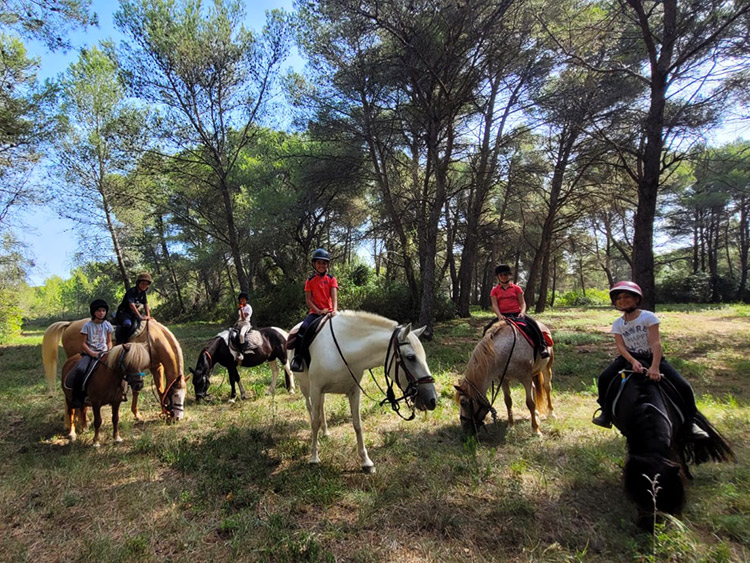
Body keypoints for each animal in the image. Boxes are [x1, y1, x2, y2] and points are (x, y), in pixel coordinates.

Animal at [42, 318, 188, 424]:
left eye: (184, 395)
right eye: (175, 395)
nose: (178, 417)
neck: (153, 339)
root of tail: (70, 324)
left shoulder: (157, 367)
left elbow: (160, 389)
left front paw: (164, 413)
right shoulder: (141, 368)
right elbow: (139, 391)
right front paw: (138, 414)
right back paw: (82, 419)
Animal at [292, 310, 438, 474]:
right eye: (411, 357)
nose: (432, 400)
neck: (342, 350)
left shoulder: (354, 391)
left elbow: (357, 424)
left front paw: (366, 461)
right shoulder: (316, 388)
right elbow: (315, 422)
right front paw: (314, 457)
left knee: (321, 407)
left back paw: (326, 432)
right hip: (306, 388)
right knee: (310, 408)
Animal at [612, 372, 736, 532]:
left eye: (667, 492)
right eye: (638, 492)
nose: (649, 526)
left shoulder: (674, 437)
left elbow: (680, 457)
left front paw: (688, 477)